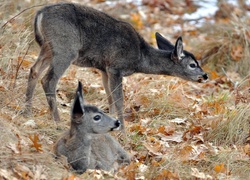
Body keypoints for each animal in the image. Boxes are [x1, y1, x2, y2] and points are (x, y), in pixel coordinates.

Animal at [25, 2, 208, 129]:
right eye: (192, 64)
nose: (205, 75)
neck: (140, 57)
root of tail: (40, 13)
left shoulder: (104, 69)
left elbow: (110, 98)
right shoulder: (116, 67)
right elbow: (119, 101)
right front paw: (122, 132)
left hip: (48, 47)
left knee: (34, 71)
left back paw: (27, 111)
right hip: (65, 48)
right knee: (48, 79)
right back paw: (56, 120)